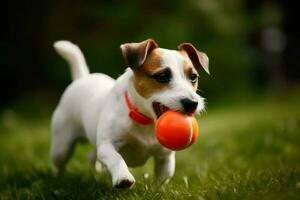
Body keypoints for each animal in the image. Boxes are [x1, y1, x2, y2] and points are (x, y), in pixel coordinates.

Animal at [50, 38, 210, 188]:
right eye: (162, 76)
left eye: (193, 77)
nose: (192, 103)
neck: (145, 120)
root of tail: (82, 78)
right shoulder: (107, 145)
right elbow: (116, 159)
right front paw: (123, 177)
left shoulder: (165, 156)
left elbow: (163, 178)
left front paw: (160, 190)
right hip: (62, 146)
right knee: (59, 163)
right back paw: (58, 179)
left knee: (91, 156)